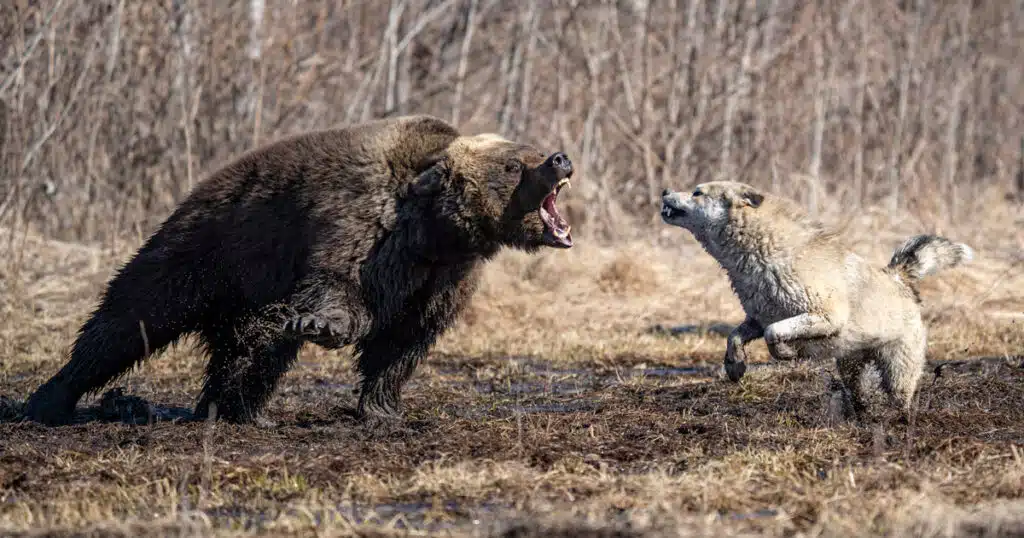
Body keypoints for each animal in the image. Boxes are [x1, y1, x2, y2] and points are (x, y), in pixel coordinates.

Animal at [23, 114, 575, 426]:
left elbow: (404, 340)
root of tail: (198, 189)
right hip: (208, 249)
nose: (559, 158)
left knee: (252, 348)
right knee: (131, 317)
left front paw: (384, 410)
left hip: (248, 285)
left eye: (528, 150)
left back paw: (233, 408)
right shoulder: (361, 226)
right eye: (513, 165)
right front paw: (323, 326)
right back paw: (51, 399)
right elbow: (338, 289)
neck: (435, 232)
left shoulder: (444, 277)